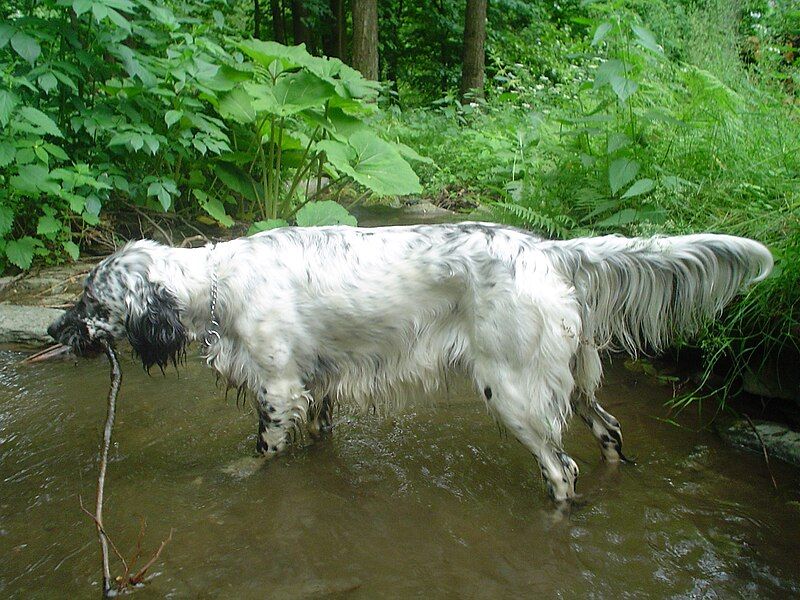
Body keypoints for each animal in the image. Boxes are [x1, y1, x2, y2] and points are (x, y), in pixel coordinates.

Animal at [47, 224, 772, 502]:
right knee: (610, 431)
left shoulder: (278, 390)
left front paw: (232, 477)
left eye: (91, 301)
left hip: (514, 392)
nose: (55, 328)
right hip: (573, 380)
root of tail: (548, 251)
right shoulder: (317, 387)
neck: (216, 284)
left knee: (561, 469)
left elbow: (260, 452)